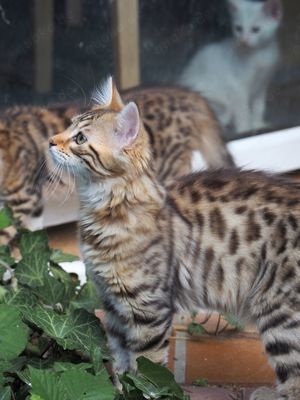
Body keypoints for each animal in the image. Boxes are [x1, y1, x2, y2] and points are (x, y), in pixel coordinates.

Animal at [49, 79, 300, 400]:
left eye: (80, 138)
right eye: (69, 126)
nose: (50, 142)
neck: (105, 211)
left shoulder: (148, 310)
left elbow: (145, 370)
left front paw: (141, 391)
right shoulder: (114, 307)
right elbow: (120, 362)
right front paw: (116, 390)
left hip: (280, 314)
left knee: (294, 379)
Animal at [179, 0, 282, 134]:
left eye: (256, 29)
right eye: (238, 28)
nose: (243, 41)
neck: (259, 53)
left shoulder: (262, 84)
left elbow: (259, 107)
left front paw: (258, 124)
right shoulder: (237, 87)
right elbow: (243, 111)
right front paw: (245, 129)